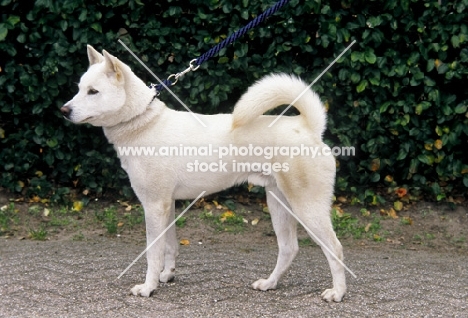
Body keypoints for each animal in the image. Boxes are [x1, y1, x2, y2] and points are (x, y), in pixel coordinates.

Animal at [61, 44, 348, 300]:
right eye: (79, 88)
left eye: (93, 91)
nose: (64, 111)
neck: (143, 122)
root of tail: (310, 128)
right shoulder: (167, 206)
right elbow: (170, 246)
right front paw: (167, 276)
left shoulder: (153, 206)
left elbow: (153, 253)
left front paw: (147, 288)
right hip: (278, 203)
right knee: (289, 249)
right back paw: (269, 284)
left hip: (307, 208)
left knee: (334, 248)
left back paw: (338, 293)